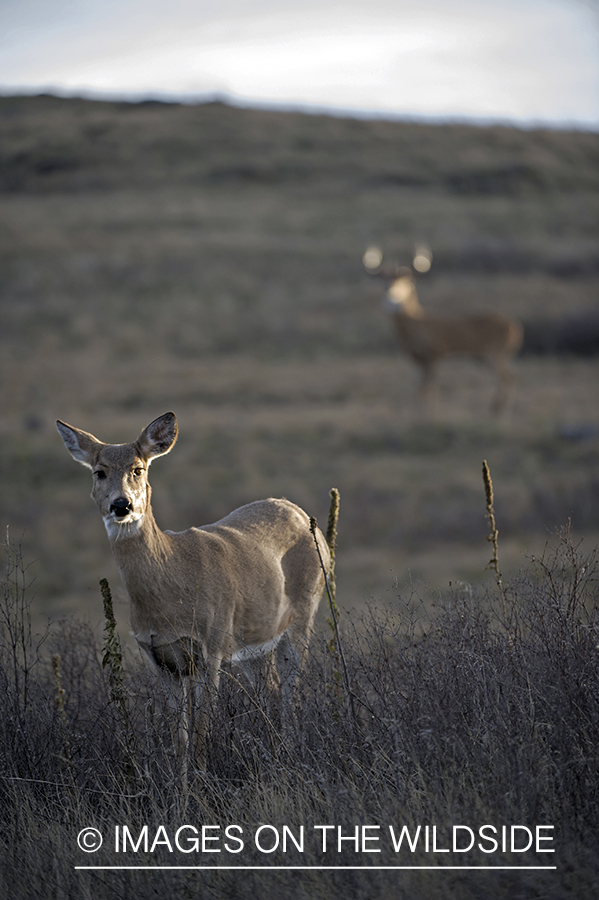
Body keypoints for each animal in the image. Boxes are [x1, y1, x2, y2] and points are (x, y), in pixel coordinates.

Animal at [56, 412, 330, 764]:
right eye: (99, 472)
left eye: (138, 469)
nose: (122, 505)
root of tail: (299, 512)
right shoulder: (160, 659)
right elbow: (179, 740)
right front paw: (181, 780)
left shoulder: (211, 645)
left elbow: (200, 734)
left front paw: (201, 778)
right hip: (256, 640)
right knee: (270, 688)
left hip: (304, 612)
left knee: (291, 694)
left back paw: (291, 752)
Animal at [364, 246, 524, 414]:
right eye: (384, 281)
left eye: (405, 282)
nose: (391, 293)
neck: (414, 325)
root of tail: (516, 326)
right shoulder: (416, 358)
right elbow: (418, 387)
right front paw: (416, 413)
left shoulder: (433, 354)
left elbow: (430, 388)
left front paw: (429, 414)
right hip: (494, 356)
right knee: (507, 379)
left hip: (496, 353)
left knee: (508, 379)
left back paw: (499, 412)